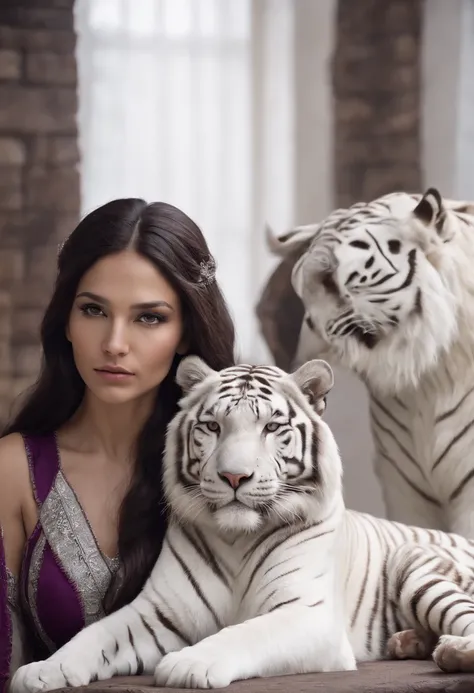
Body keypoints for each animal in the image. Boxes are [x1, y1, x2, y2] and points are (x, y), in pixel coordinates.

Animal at [10, 354, 474, 688]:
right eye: (212, 426)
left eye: (271, 427)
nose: (235, 476)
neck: (238, 537)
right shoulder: (159, 611)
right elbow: (96, 635)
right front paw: (42, 670)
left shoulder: (308, 614)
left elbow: (246, 632)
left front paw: (188, 663)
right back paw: (408, 641)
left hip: (414, 563)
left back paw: (449, 650)